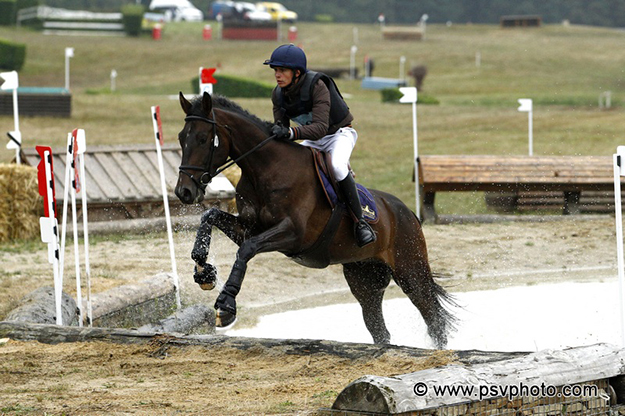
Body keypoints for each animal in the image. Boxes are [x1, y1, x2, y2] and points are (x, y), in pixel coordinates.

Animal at [173, 91, 456, 348]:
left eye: (203, 139)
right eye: (180, 138)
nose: (183, 191)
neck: (264, 169)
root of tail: (409, 213)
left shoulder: (292, 234)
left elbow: (246, 250)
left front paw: (226, 305)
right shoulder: (250, 227)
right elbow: (210, 217)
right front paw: (203, 270)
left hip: (410, 272)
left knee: (433, 320)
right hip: (365, 279)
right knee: (380, 329)